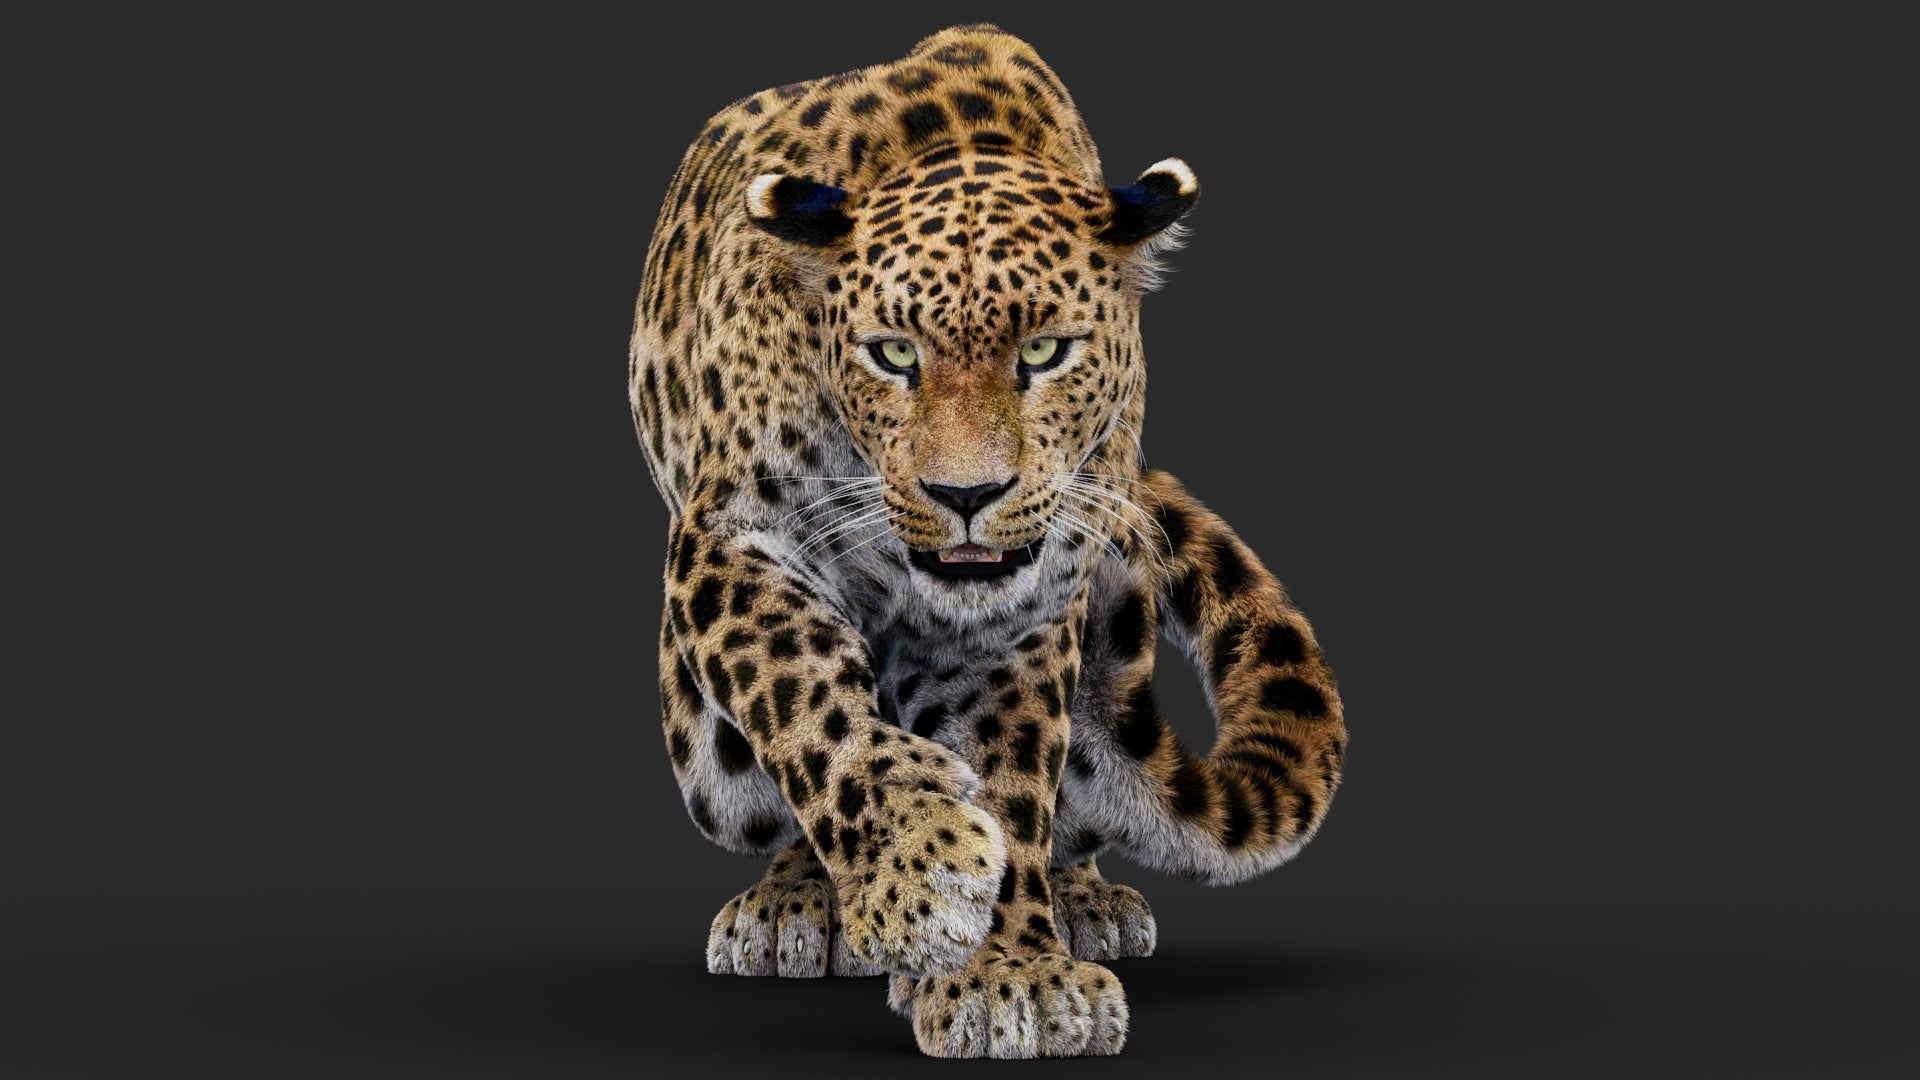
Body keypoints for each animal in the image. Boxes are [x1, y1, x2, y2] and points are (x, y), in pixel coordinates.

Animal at [626, 23, 1346, 1059]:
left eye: (1044, 352)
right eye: (893, 353)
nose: (966, 494)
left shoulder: (1028, 611)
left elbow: (1010, 771)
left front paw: (1008, 972)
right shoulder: (733, 535)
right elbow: (808, 696)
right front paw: (918, 870)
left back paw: (1086, 902)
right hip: (705, 761)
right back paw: (800, 904)